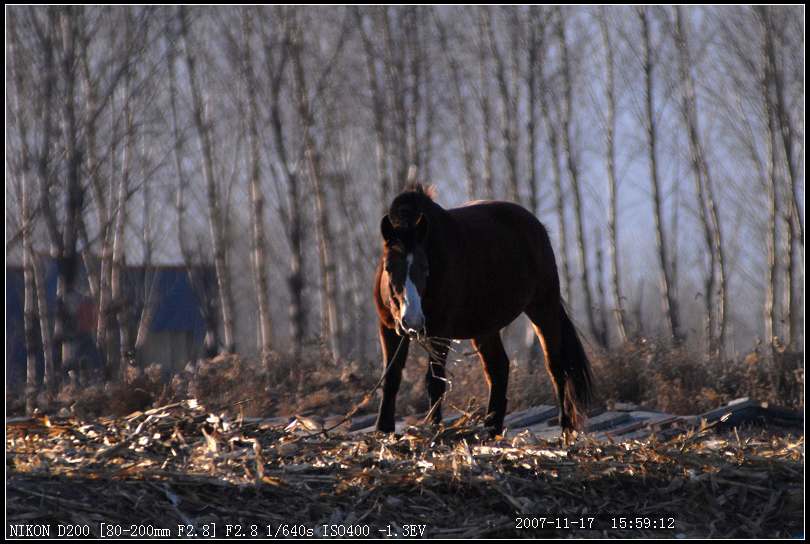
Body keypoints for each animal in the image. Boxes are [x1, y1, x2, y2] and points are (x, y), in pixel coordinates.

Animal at [374, 185, 592, 440]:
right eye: (389, 267)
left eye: (425, 267)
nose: (412, 320)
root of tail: (536, 225)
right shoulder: (389, 329)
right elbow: (391, 377)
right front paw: (383, 429)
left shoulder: (440, 333)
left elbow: (435, 382)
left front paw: (434, 429)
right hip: (485, 327)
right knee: (498, 368)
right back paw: (491, 428)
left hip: (542, 308)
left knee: (556, 367)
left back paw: (565, 428)